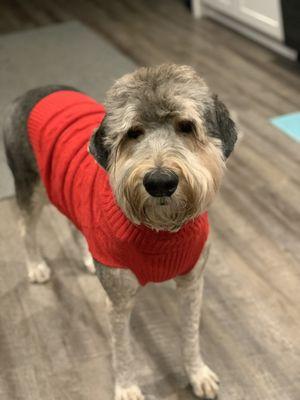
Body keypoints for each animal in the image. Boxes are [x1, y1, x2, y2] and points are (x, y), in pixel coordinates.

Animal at [2, 65, 237, 400]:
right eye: (133, 132)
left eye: (186, 127)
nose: (160, 181)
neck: (160, 231)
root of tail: (27, 93)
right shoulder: (119, 300)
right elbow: (123, 349)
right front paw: (127, 388)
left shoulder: (192, 283)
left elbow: (190, 335)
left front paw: (197, 374)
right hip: (30, 188)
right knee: (25, 228)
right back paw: (36, 267)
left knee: (73, 224)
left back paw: (87, 259)